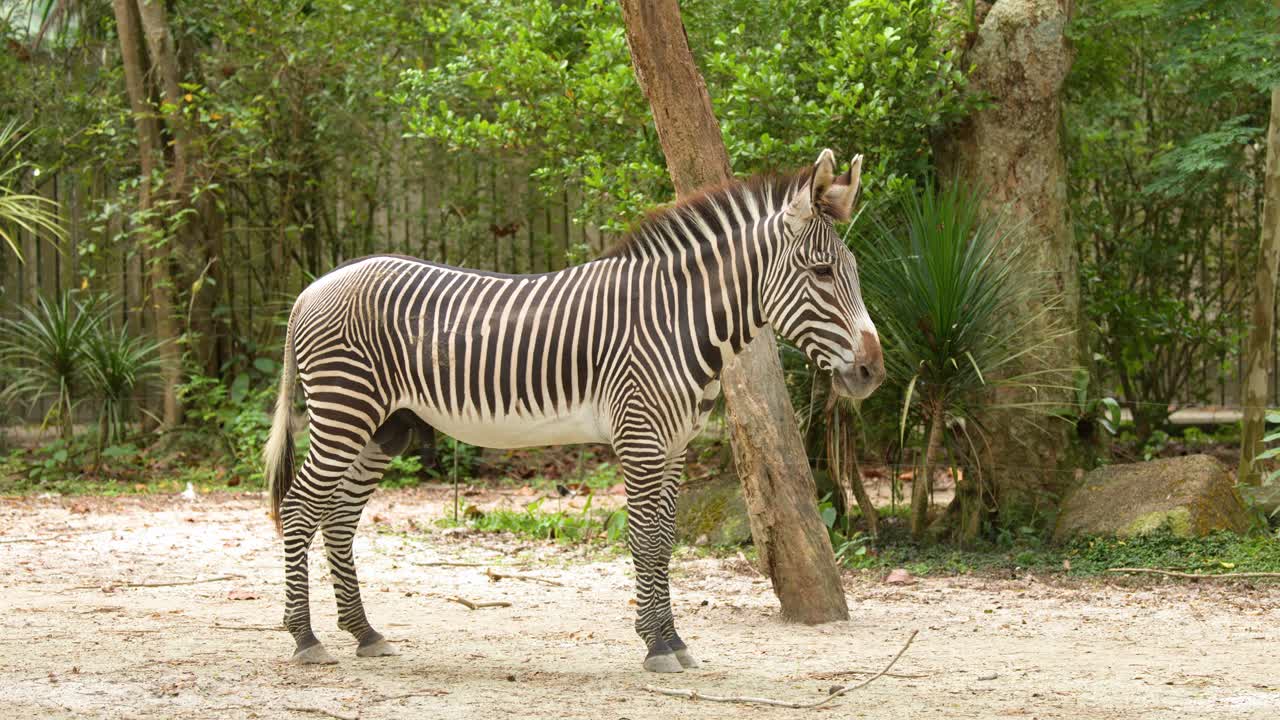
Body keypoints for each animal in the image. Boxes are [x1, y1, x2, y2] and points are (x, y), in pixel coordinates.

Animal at [262, 149, 885, 673]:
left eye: (854, 273)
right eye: (822, 273)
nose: (873, 373)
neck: (678, 320)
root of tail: (310, 290)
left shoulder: (675, 445)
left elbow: (665, 537)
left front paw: (672, 639)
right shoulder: (640, 437)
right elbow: (646, 538)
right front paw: (658, 646)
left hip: (384, 429)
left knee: (338, 520)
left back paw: (364, 633)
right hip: (344, 411)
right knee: (298, 508)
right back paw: (306, 638)